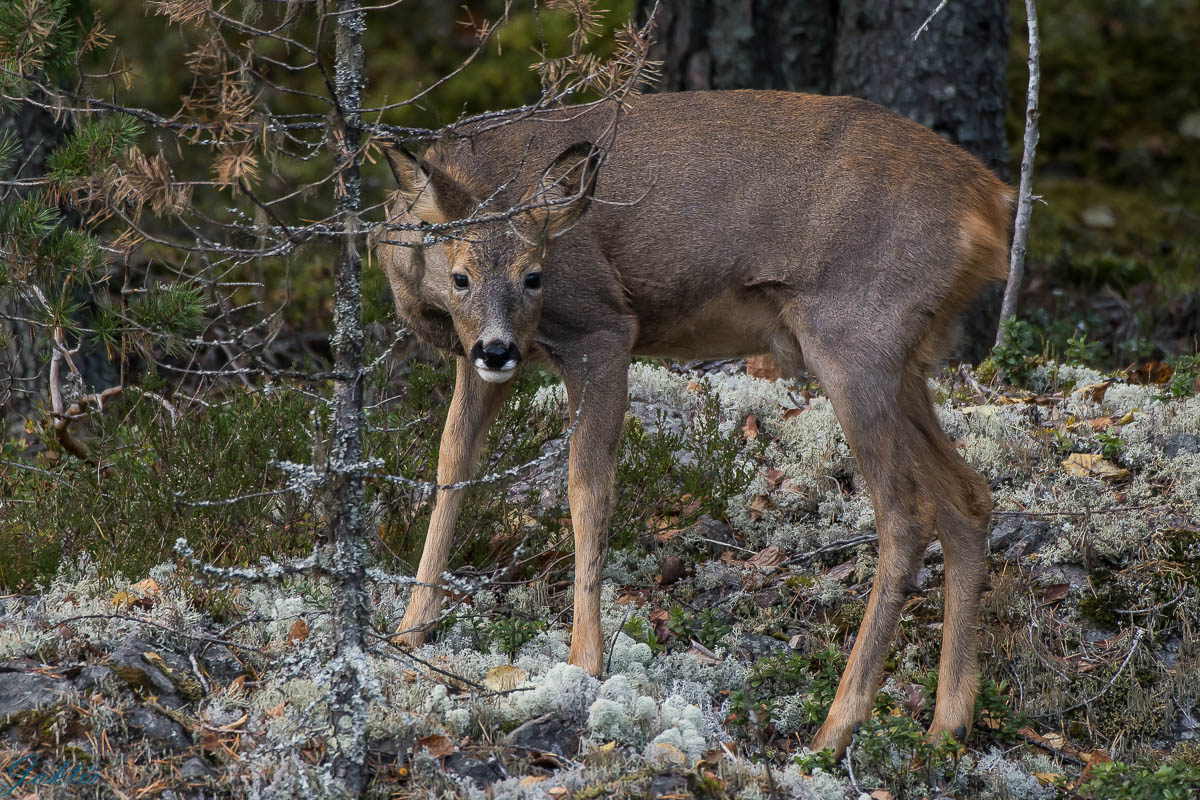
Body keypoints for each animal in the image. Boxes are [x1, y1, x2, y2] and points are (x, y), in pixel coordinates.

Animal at [376, 89, 1012, 758]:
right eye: (461, 276)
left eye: (534, 275)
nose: (499, 349)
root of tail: (990, 201)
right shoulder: (473, 359)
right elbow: (451, 464)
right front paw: (407, 632)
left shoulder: (602, 329)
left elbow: (587, 488)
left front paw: (584, 660)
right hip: (903, 362)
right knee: (967, 494)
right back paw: (947, 724)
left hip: (855, 339)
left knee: (905, 515)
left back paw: (836, 728)